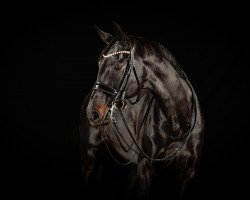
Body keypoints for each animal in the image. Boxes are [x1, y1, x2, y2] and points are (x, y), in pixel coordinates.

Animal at [79, 22, 204, 199]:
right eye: (98, 65)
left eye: (117, 66)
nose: (93, 112)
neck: (178, 121)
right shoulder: (145, 170)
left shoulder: (188, 173)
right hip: (90, 157)